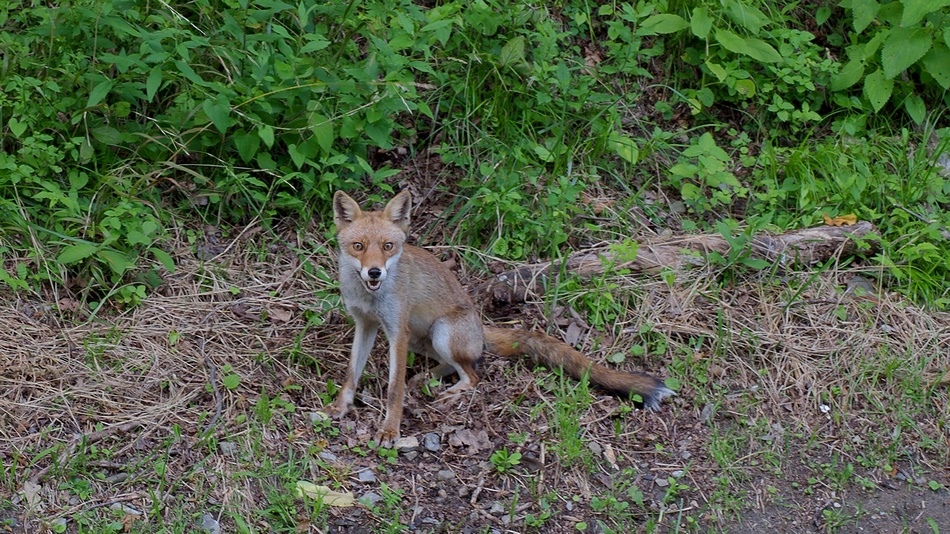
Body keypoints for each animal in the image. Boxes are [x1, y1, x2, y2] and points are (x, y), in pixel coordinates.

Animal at [328, 191, 676, 446]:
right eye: (358, 246)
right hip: (422, 340)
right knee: (457, 364)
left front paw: (390, 429)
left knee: (473, 374)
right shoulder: (366, 325)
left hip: (442, 332)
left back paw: (450, 391)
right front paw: (341, 406)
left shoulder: (396, 332)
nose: (375, 272)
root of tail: (482, 328)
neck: (370, 298)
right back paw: (428, 378)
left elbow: (393, 389)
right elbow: (351, 373)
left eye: (388, 246)